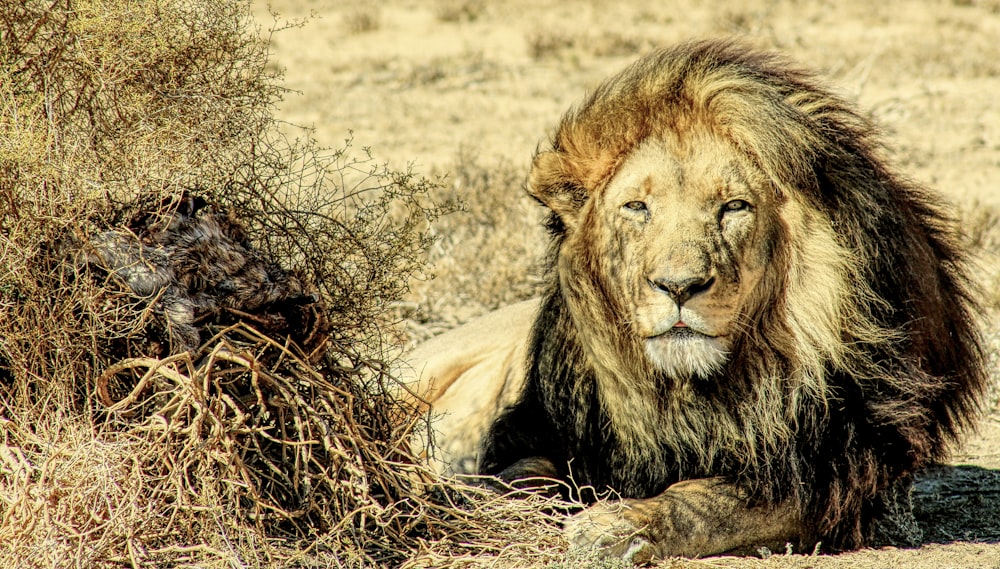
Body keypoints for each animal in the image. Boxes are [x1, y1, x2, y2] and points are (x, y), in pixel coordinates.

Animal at [402, 40, 988, 560]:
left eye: (734, 207)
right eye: (637, 207)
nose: (679, 286)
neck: (685, 391)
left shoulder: (828, 469)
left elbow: (706, 503)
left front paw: (614, 525)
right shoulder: (542, 431)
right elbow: (521, 477)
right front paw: (474, 501)